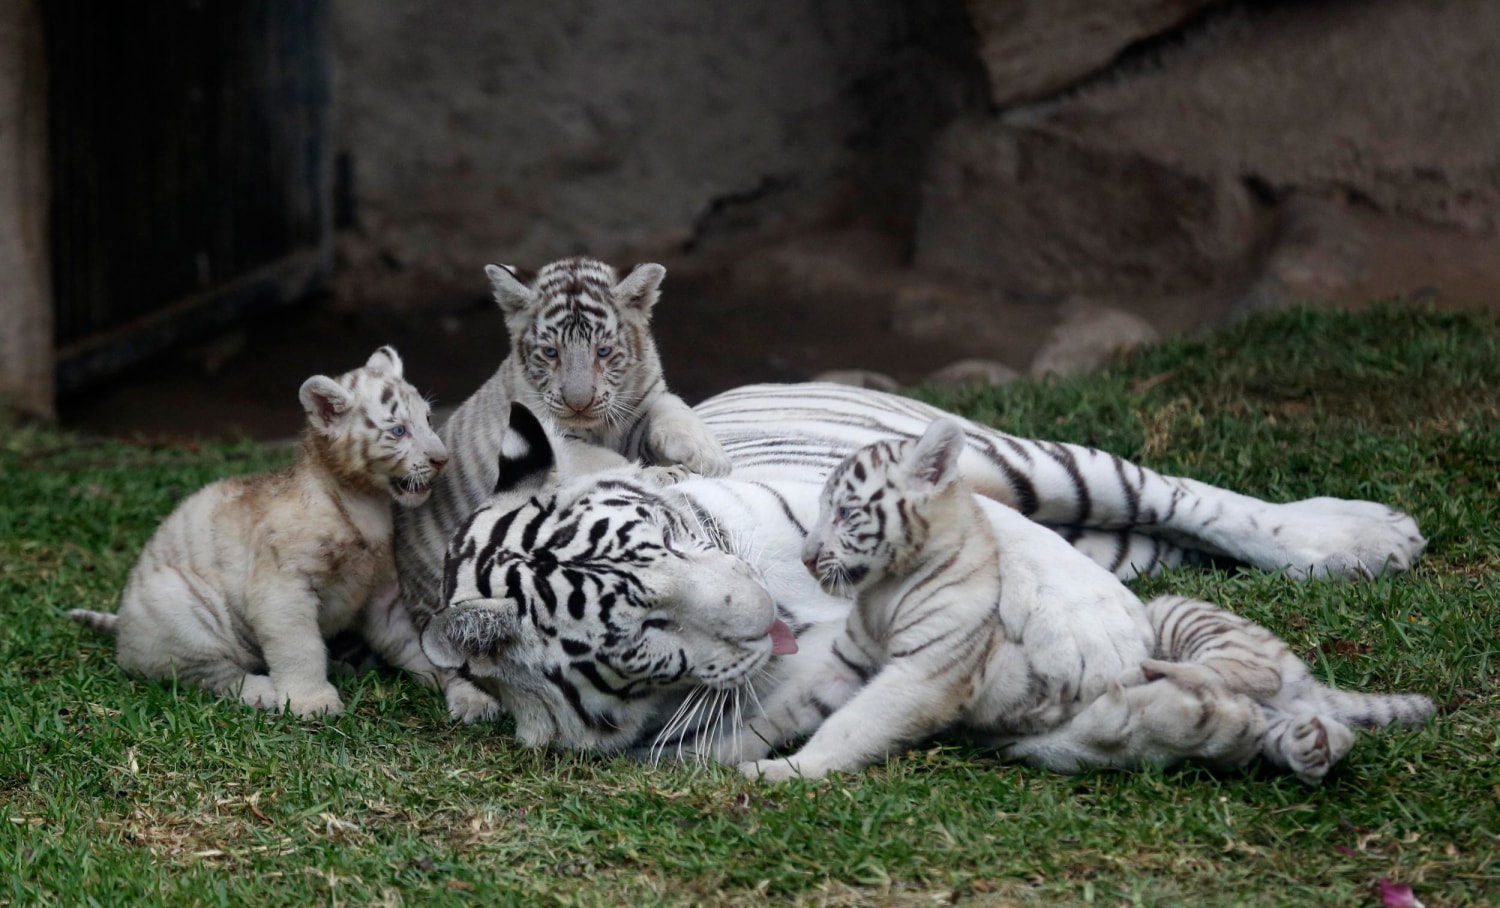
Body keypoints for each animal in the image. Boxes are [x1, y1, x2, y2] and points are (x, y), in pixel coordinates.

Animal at [71, 345, 444, 714]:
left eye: (427, 419)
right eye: (398, 431)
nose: (442, 459)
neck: (365, 501)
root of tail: (124, 630)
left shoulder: (381, 591)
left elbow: (409, 638)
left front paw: (446, 678)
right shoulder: (284, 586)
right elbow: (299, 647)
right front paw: (313, 702)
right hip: (180, 607)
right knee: (212, 674)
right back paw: (264, 692)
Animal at [420, 402, 1428, 780]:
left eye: (672, 540)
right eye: (648, 628)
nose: (770, 618)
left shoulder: (830, 497)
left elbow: (1005, 542)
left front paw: (1089, 631)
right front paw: (1190, 723)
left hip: (1021, 459)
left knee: (1185, 497)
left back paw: (1364, 536)